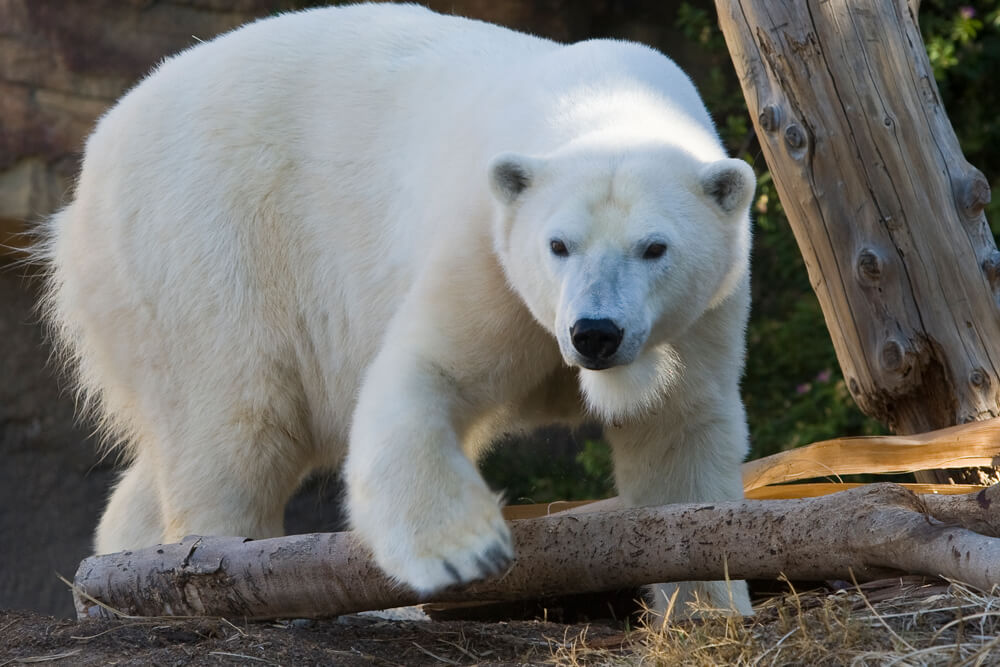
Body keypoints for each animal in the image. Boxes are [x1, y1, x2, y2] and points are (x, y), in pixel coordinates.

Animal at [43, 3, 752, 620]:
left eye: (654, 247)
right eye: (558, 244)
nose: (594, 333)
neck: (609, 98)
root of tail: (91, 168)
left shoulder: (703, 311)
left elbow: (679, 433)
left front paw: (711, 605)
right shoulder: (482, 250)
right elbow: (423, 375)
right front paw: (464, 552)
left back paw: (117, 576)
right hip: (204, 245)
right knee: (235, 422)